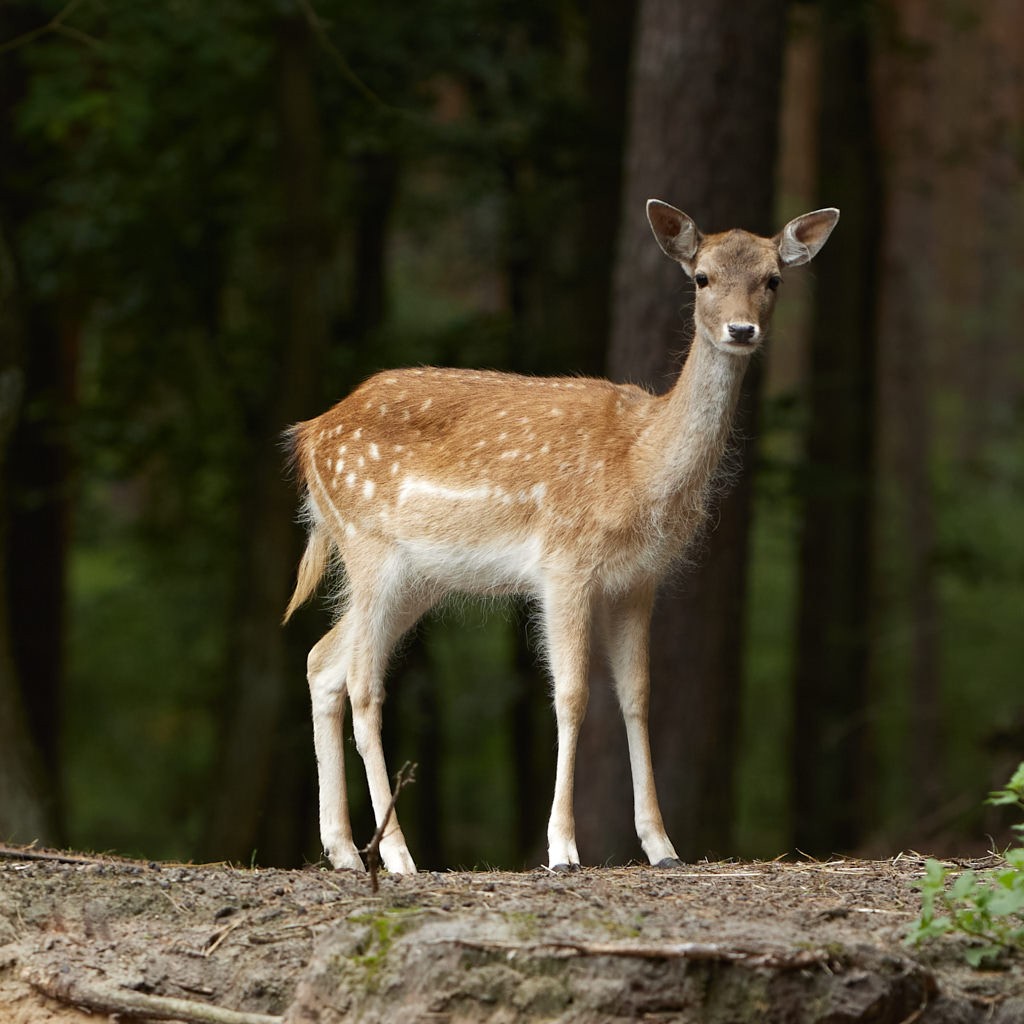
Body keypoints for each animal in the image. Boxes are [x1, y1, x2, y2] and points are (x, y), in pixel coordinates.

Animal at [282, 197, 839, 872]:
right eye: (702, 277)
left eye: (773, 279)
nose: (740, 331)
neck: (638, 465)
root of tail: (308, 436)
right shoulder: (565, 564)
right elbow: (572, 695)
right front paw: (563, 846)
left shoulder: (637, 581)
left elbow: (638, 695)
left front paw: (662, 845)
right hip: (370, 547)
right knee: (364, 684)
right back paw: (396, 854)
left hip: (418, 578)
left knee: (322, 661)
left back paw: (341, 850)